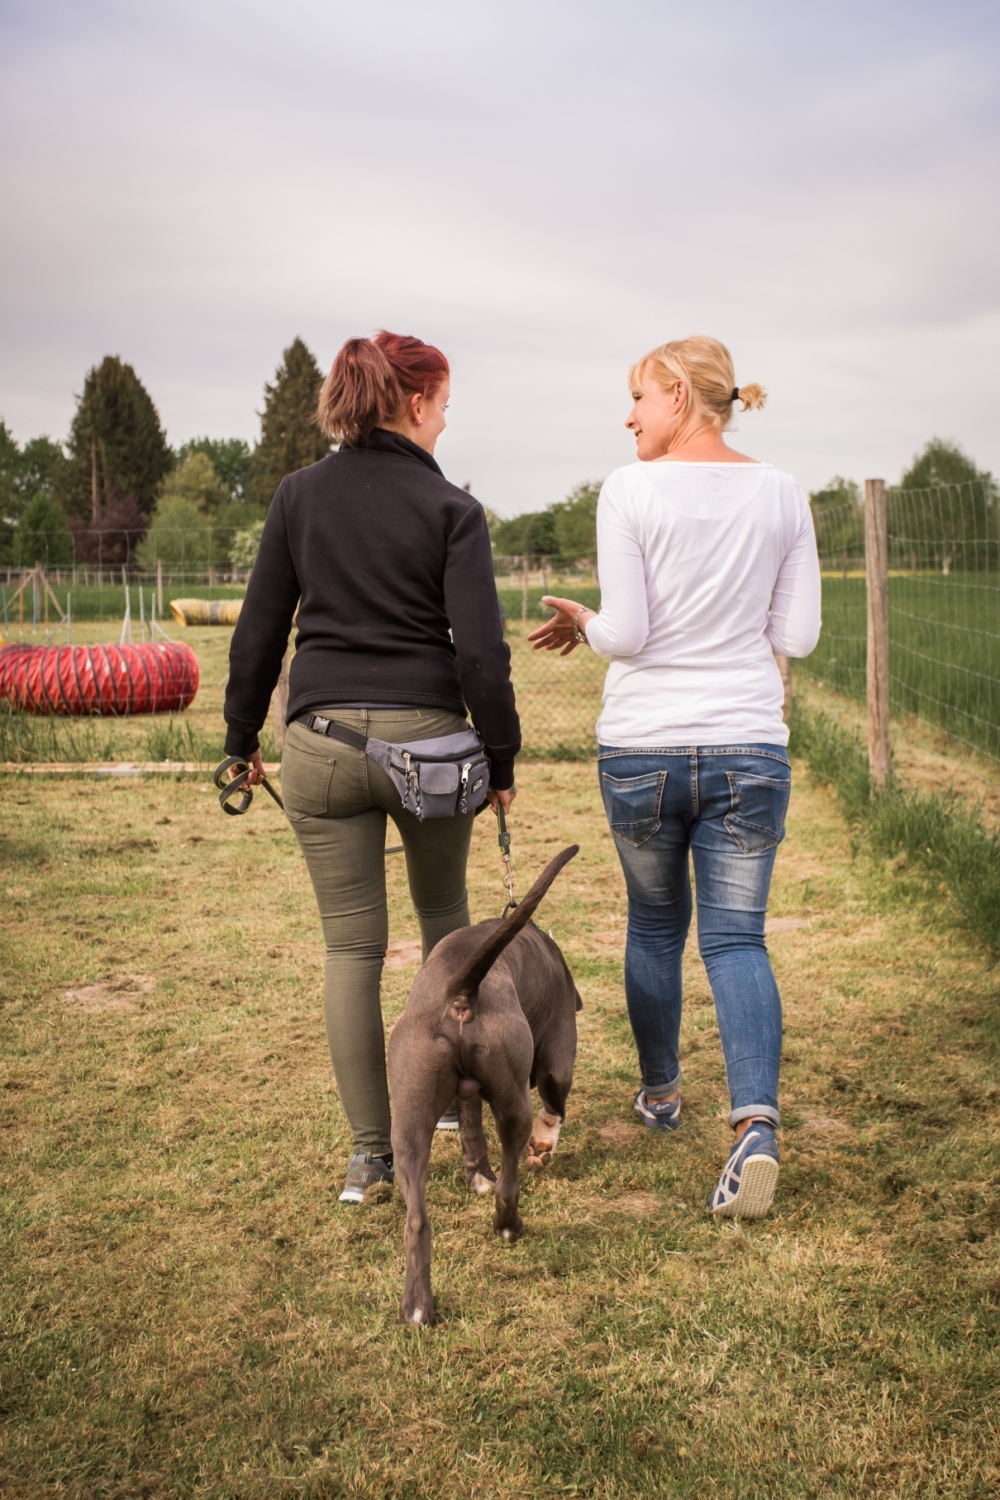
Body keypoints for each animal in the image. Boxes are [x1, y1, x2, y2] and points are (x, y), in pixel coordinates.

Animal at [389, 846, 581, 1326]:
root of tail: (461, 992)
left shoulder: (465, 1091)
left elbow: (470, 1132)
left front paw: (477, 1176)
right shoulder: (557, 1057)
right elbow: (556, 1104)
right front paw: (544, 1146)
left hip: (409, 1118)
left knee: (416, 1220)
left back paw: (416, 1308)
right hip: (515, 1103)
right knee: (511, 1180)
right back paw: (508, 1227)